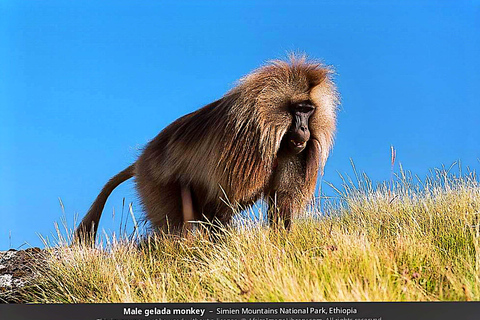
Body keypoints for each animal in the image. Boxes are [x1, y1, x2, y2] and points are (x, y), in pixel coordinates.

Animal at [75, 56, 338, 242]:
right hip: (156, 183)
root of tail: (142, 160)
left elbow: (281, 204)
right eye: (298, 110)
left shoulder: (291, 152)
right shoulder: (246, 147)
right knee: (173, 228)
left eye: (309, 110)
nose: (303, 129)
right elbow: (225, 202)